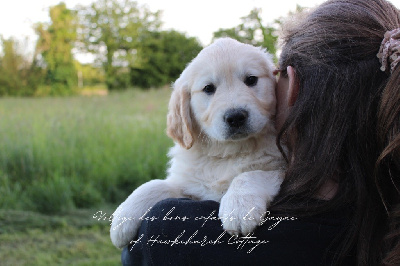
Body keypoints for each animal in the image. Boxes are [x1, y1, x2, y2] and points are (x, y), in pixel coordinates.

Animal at [111, 38, 286, 249]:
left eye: (251, 80)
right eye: (208, 88)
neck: (229, 152)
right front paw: (123, 217)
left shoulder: (282, 167)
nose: (236, 117)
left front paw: (238, 207)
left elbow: (250, 174)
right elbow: (155, 185)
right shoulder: (190, 187)